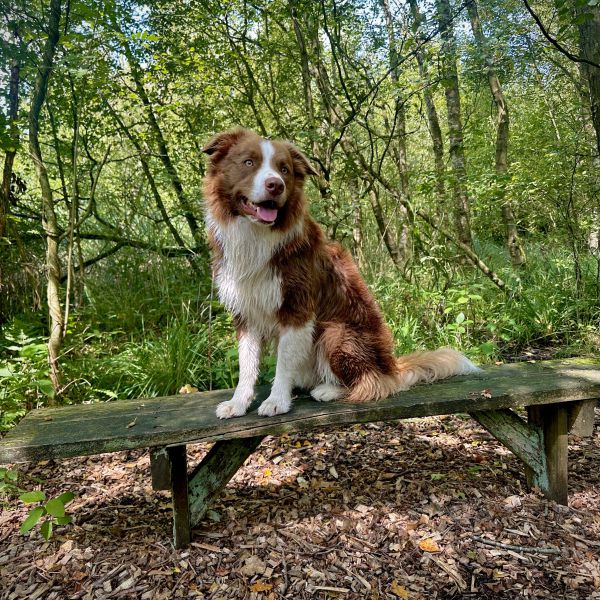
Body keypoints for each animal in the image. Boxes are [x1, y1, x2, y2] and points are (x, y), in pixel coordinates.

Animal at [202, 127, 478, 418]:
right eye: (248, 162)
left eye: (284, 169)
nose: (276, 185)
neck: (255, 236)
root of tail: (391, 367)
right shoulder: (246, 314)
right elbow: (247, 366)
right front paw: (238, 403)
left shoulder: (298, 309)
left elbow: (283, 365)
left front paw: (276, 400)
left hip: (336, 332)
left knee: (373, 383)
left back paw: (329, 389)